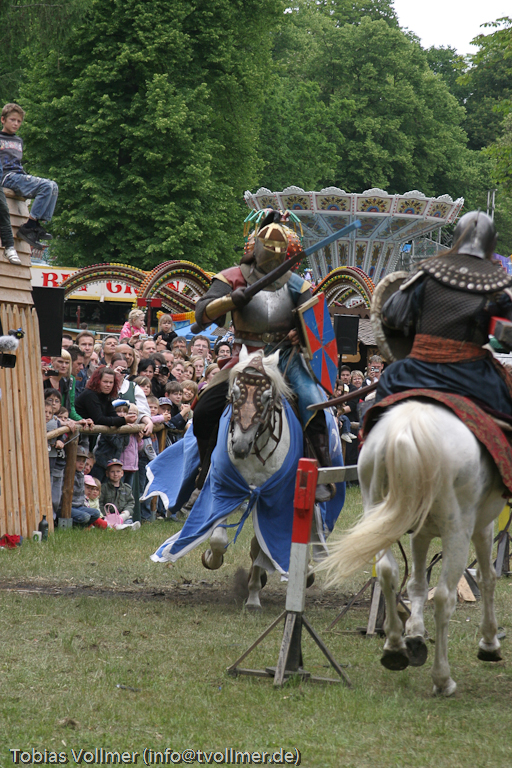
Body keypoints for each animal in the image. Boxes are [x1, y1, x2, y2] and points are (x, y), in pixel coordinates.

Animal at [150, 347, 345, 610]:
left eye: (267, 397)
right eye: (234, 393)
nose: (240, 446)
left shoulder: (271, 500)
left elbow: (262, 545)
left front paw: (253, 596)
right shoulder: (224, 490)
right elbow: (218, 538)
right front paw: (211, 558)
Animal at [320, 398, 505, 696]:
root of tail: (406, 432)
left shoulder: (420, 533)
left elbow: (416, 584)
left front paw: (415, 634)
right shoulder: (482, 527)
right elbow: (487, 578)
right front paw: (489, 643)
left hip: (378, 514)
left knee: (387, 572)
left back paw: (395, 647)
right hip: (457, 532)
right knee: (443, 597)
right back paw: (442, 679)